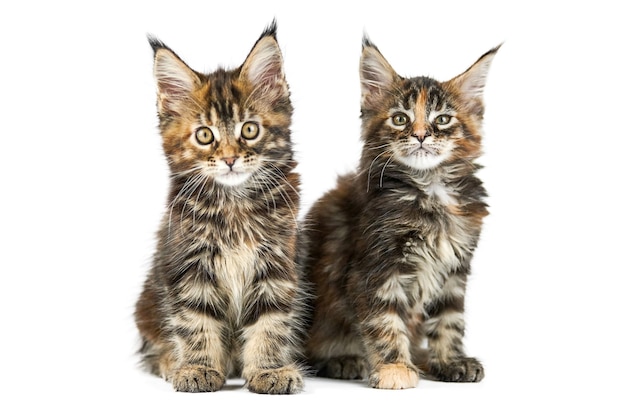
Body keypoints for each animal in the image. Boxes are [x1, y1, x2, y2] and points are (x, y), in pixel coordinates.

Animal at [134, 22, 308, 394]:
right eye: (204, 135)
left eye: (249, 129)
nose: (229, 158)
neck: (235, 204)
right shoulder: (189, 265)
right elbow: (195, 322)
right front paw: (198, 368)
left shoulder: (276, 264)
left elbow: (270, 323)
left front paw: (269, 370)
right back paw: (171, 362)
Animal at [300, 37, 500, 388]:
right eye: (400, 119)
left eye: (443, 119)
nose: (420, 135)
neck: (430, 189)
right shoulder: (375, 267)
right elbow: (384, 320)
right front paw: (394, 367)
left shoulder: (455, 268)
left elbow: (449, 320)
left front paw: (449, 361)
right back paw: (345, 360)